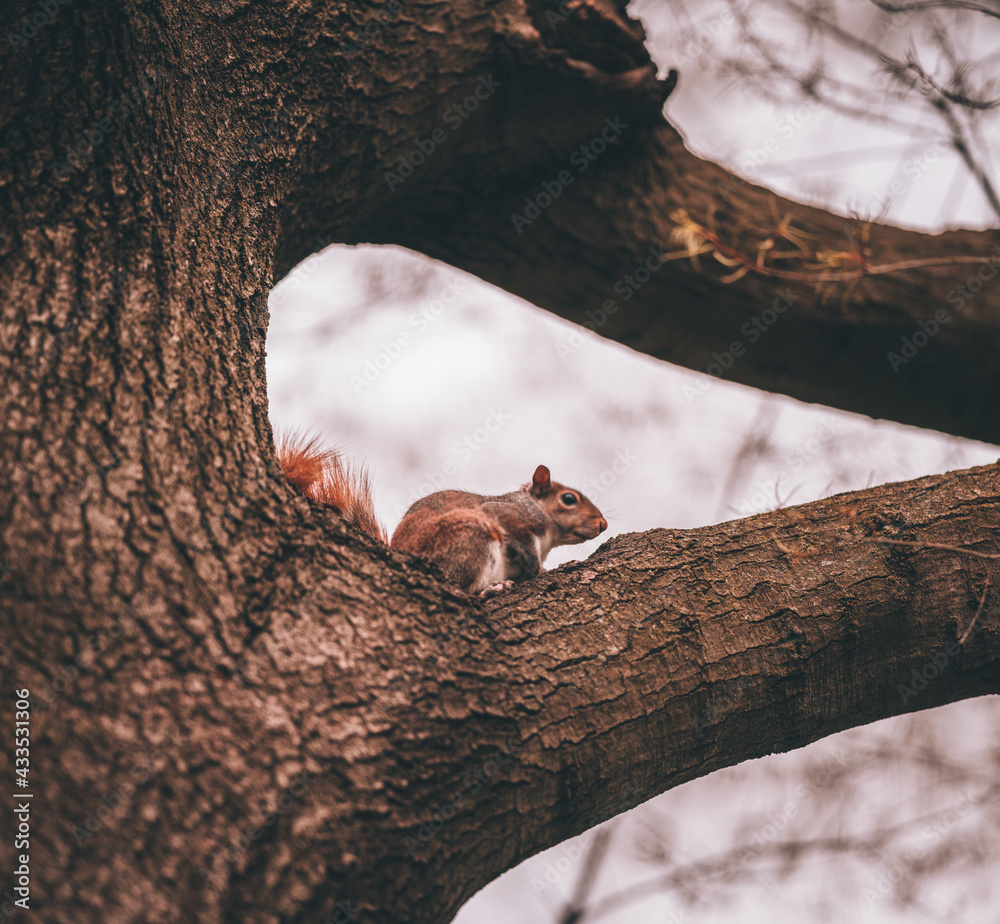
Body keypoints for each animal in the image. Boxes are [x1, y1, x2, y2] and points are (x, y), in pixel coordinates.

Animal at [276, 434, 608, 595]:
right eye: (569, 499)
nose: (603, 524)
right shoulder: (509, 517)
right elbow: (522, 548)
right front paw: (536, 569)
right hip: (471, 536)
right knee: (463, 588)